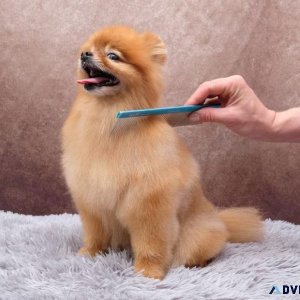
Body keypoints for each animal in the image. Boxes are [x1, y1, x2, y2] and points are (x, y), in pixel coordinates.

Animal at [62, 25, 264, 278]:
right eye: (88, 48)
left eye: (113, 56)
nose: (84, 54)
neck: (107, 117)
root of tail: (218, 219)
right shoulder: (91, 199)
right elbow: (95, 232)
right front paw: (90, 253)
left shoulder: (150, 203)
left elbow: (152, 242)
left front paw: (148, 271)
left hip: (197, 236)